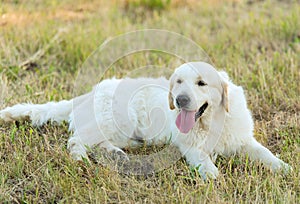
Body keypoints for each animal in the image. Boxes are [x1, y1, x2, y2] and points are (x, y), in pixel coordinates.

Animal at [0, 61, 290, 178]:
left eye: (201, 83)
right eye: (179, 82)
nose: (180, 100)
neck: (211, 122)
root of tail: (89, 93)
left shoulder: (243, 139)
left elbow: (265, 153)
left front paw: (283, 167)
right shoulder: (190, 147)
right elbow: (204, 160)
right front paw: (212, 175)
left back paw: (118, 154)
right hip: (120, 118)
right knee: (76, 139)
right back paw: (80, 158)